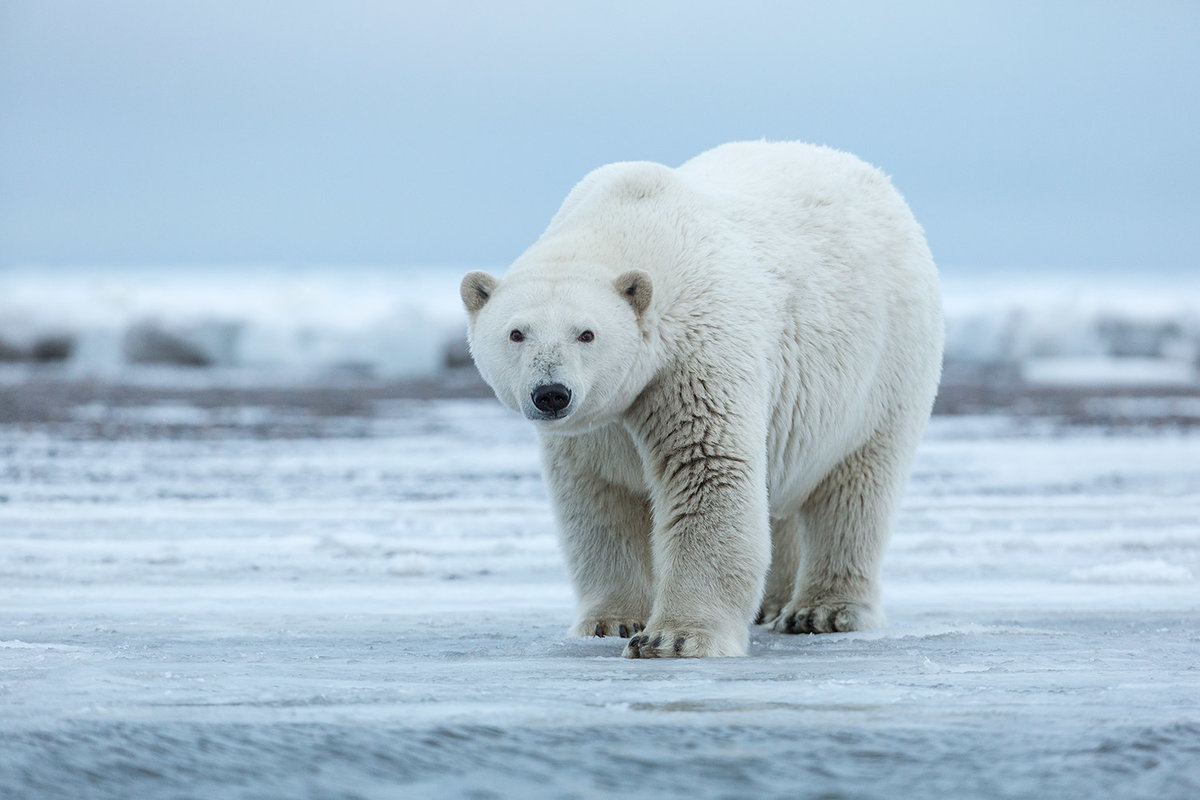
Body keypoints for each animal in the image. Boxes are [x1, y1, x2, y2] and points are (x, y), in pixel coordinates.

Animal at [463, 140, 940, 662]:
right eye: (516, 333)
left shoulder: (694, 355)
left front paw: (673, 638)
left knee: (856, 487)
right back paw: (772, 603)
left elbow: (707, 469)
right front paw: (611, 621)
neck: (631, 221)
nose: (551, 393)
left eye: (586, 333)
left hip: (884, 366)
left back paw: (823, 611)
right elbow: (601, 495)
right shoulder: (599, 423)